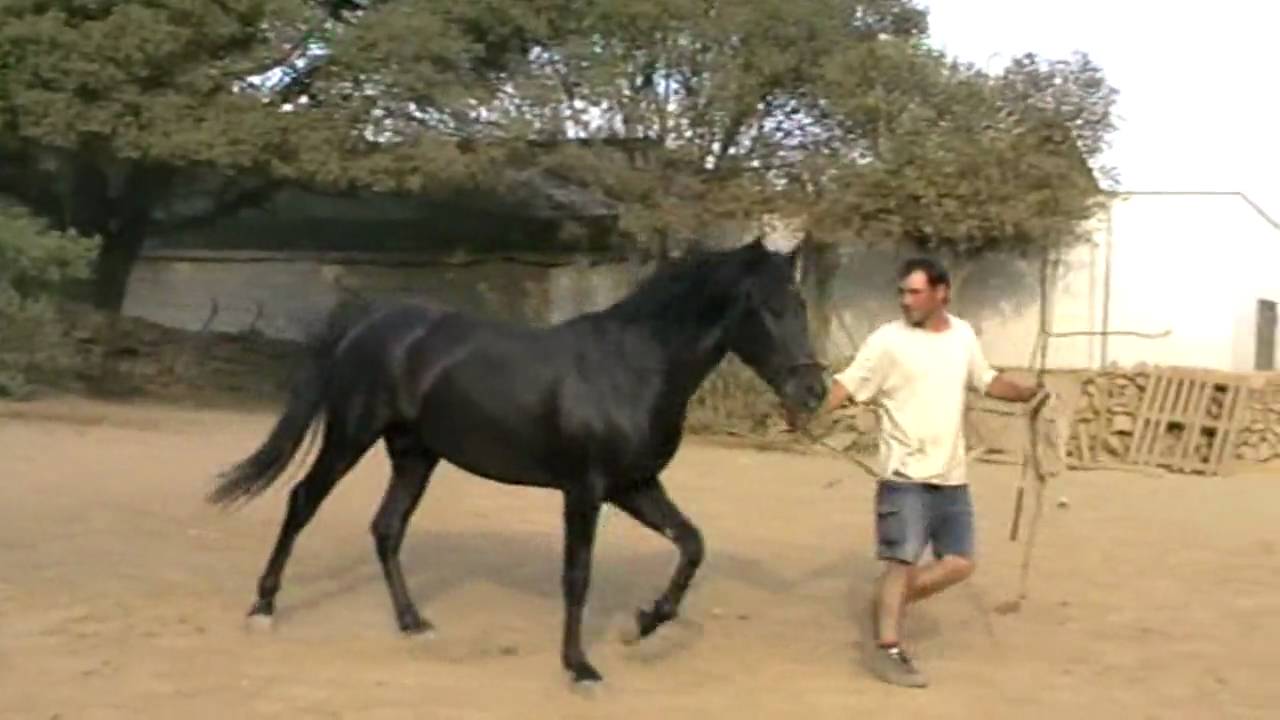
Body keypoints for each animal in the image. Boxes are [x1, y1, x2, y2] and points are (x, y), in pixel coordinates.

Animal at [207, 237, 829, 686]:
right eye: (767, 307)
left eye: (800, 304)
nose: (813, 391)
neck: (633, 367)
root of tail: (371, 321)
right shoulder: (585, 489)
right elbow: (577, 575)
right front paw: (579, 666)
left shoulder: (635, 485)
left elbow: (692, 544)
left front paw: (642, 625)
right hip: (351, 436)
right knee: (303, 502)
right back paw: (263, 608)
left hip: (415, 454)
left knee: (387, 528)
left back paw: (414, 624)